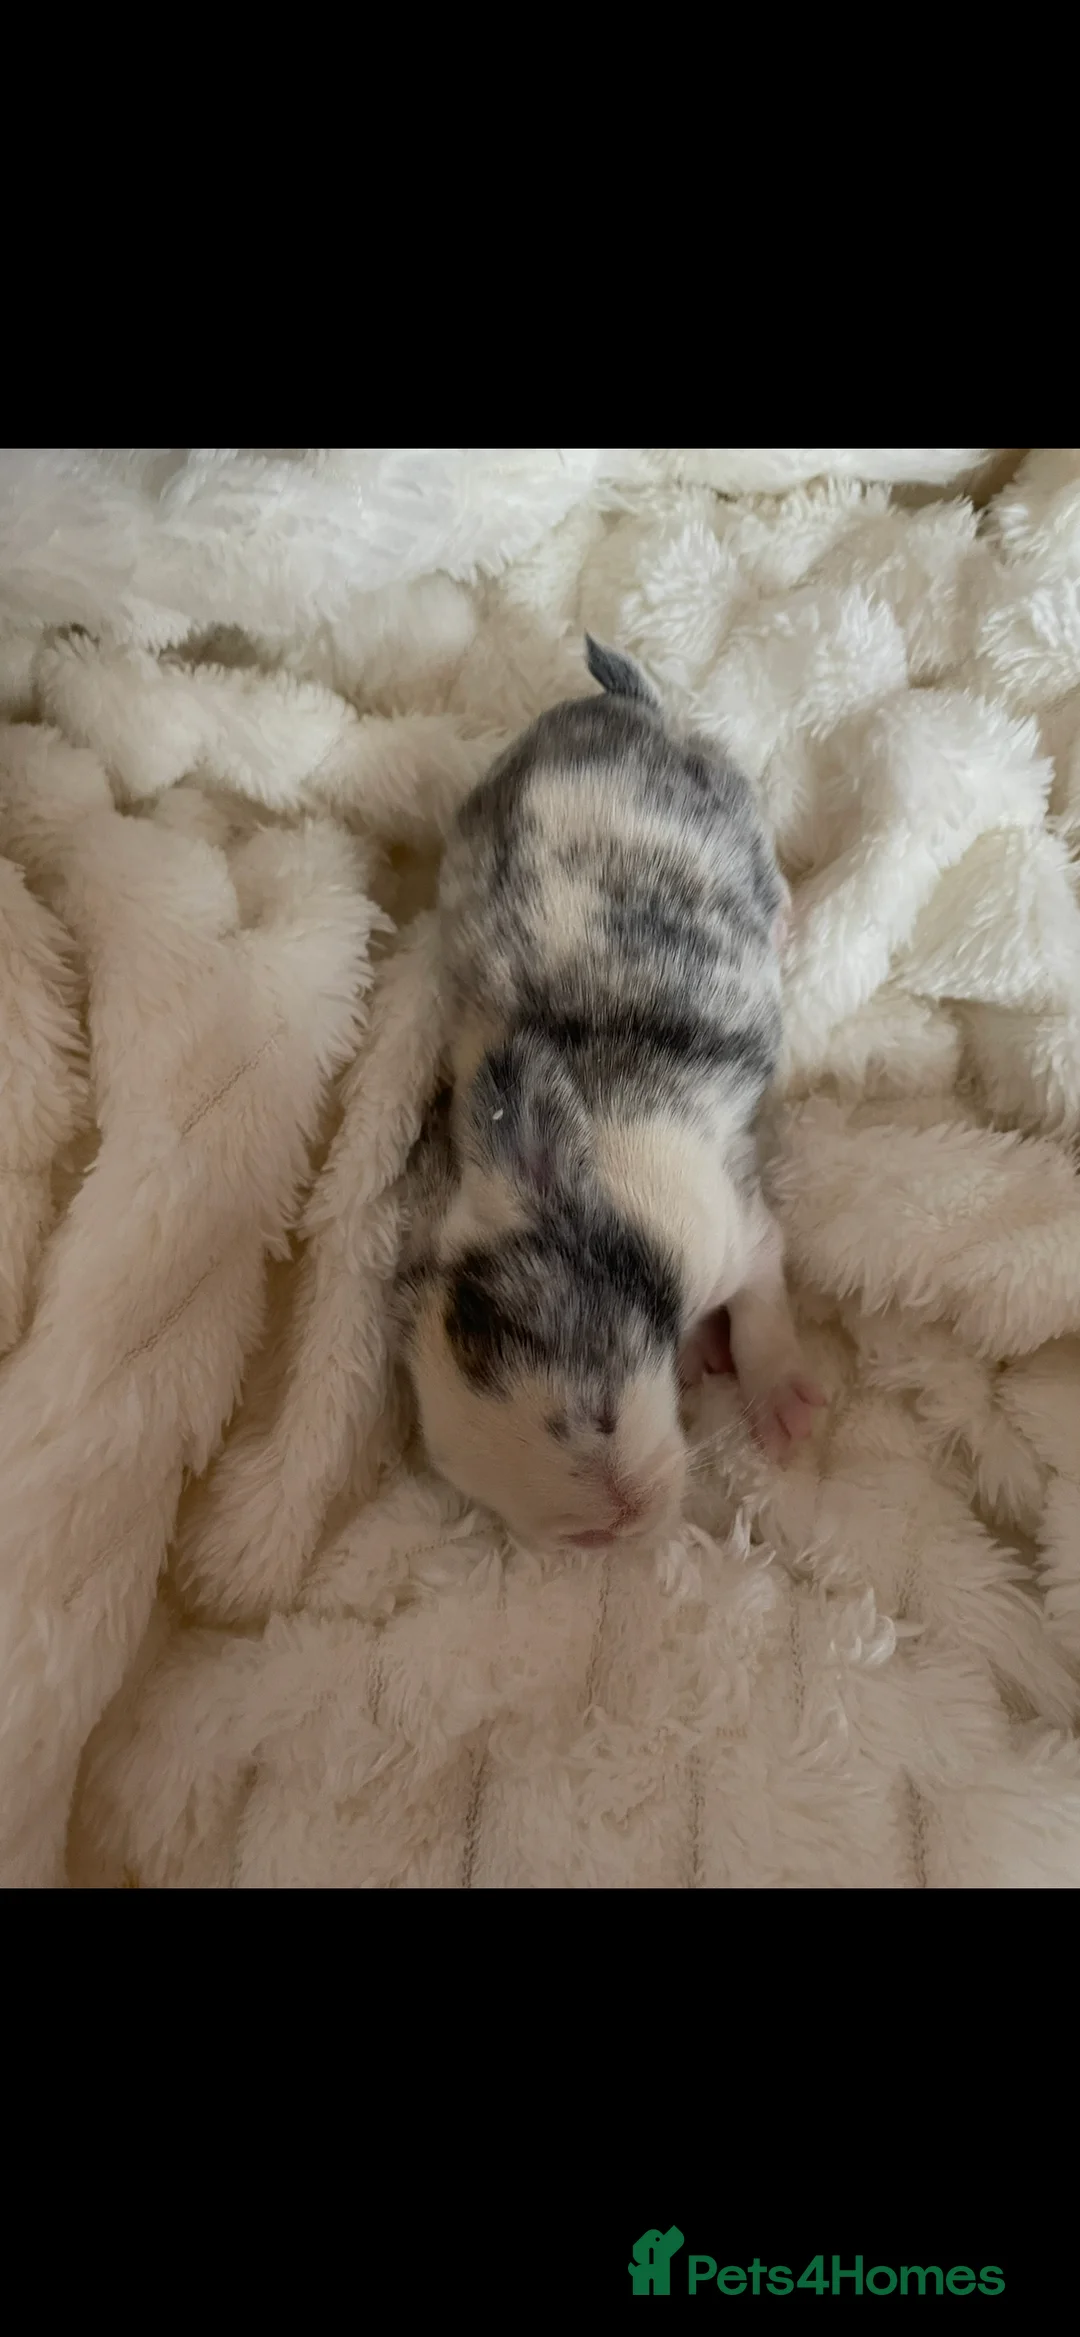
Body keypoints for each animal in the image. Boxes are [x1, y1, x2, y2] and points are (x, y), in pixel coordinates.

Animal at [393, 637, 825, 1552]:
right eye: (482, 1486)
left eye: (598, 1412)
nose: (612, 1530)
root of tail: (619, 708)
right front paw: (697, 1351)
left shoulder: (732, 1225)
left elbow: (764, 1304)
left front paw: (782, 1403)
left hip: (730, 803)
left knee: (767, 869)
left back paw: (783, 919)